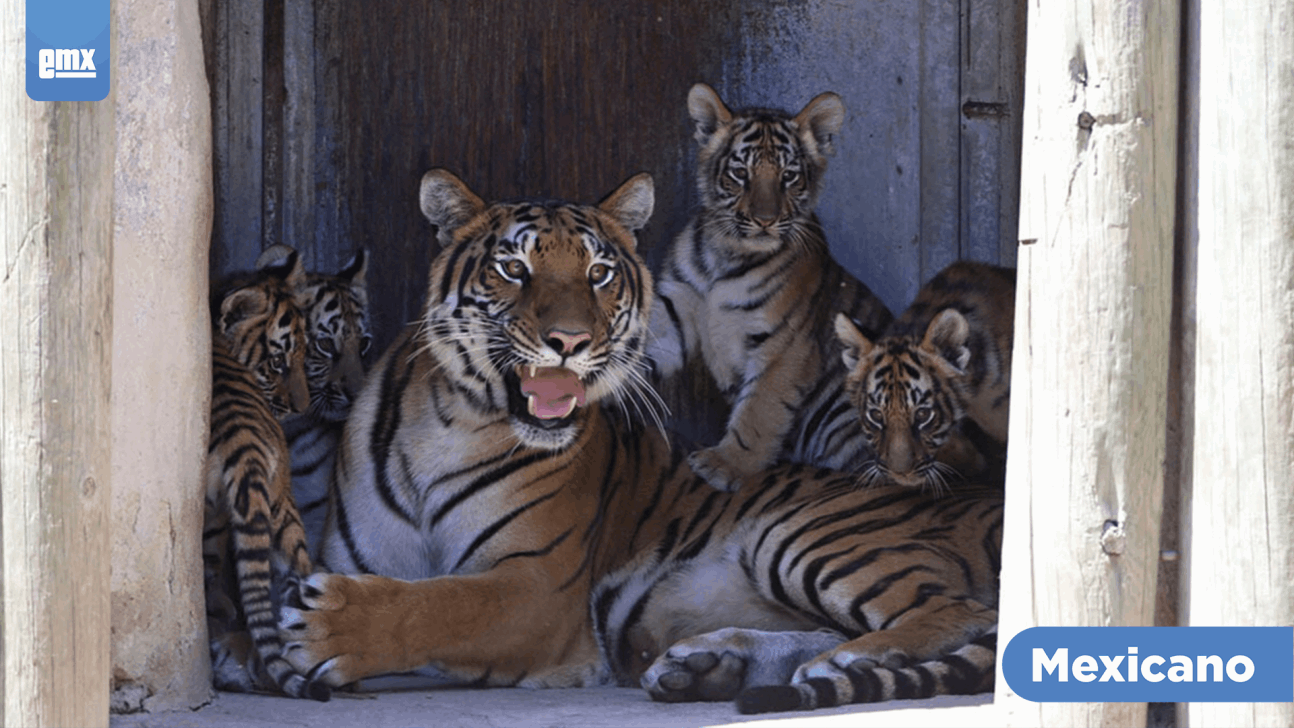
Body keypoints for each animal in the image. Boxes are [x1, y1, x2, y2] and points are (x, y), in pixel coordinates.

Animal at [202, 250, 329, 701]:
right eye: (278, 362)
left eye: (306, 353)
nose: (301, 408)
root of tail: (246, 447)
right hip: (282, 506)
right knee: (301, 574)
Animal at [648, 83, 894, 492]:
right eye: (739, 173)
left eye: (789, 175)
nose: (765, 220)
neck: (727, 254)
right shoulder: (677, 309)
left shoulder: (785, 346)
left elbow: (758, 412)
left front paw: (724, 464)